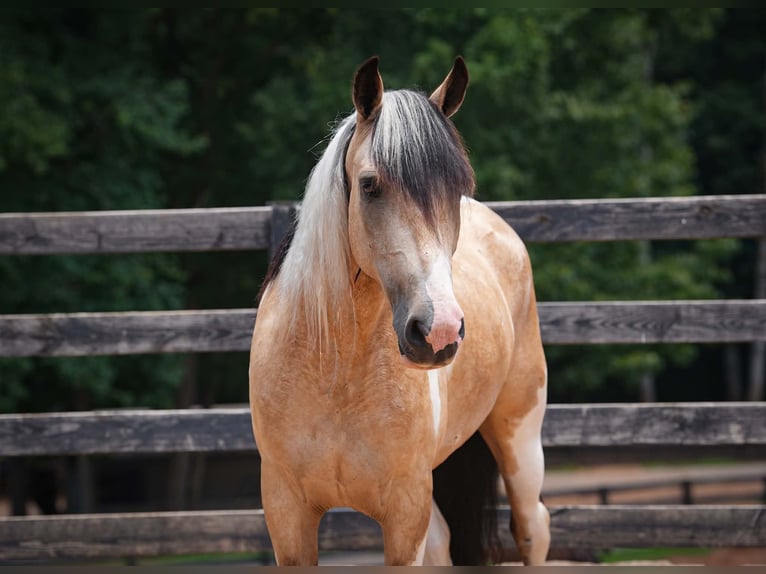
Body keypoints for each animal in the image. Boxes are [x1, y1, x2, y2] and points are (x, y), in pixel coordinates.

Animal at [249, 56, 550, 566]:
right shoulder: (287, 514)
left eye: (457, 188)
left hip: (520, 438)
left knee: (532, 528)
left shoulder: (405, 514)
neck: (336, 373)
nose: (439, 330)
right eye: (370, 185)